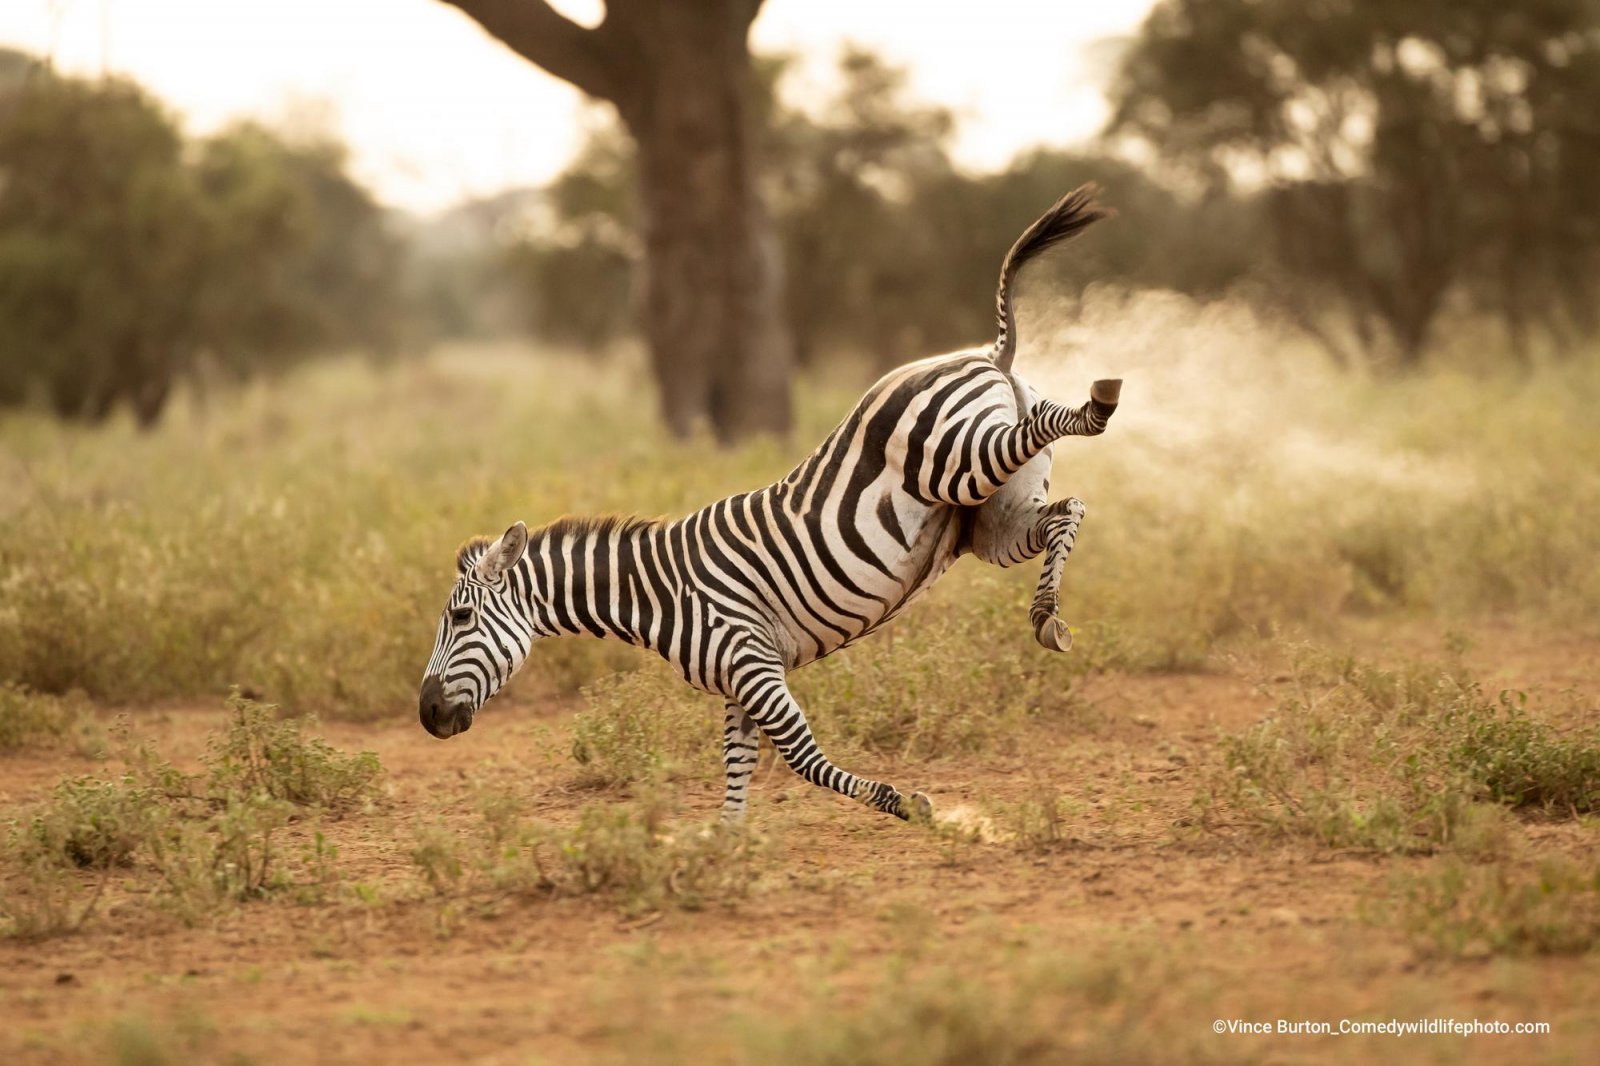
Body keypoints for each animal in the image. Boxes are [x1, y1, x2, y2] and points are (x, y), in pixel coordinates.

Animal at [419, 184, 1120, 819]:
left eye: (460, 618)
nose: (426, 715)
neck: (656, 593)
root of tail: (981, 354)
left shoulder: (752, 662)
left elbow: (804, 760)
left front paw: (906, 802)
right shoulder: (738, 683)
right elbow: (737, 768)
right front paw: (724, 850)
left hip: (956, 463)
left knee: (1048, 434)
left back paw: (1100, 401)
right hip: (989, 521)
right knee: (1066, 511)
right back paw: (1047, 616)